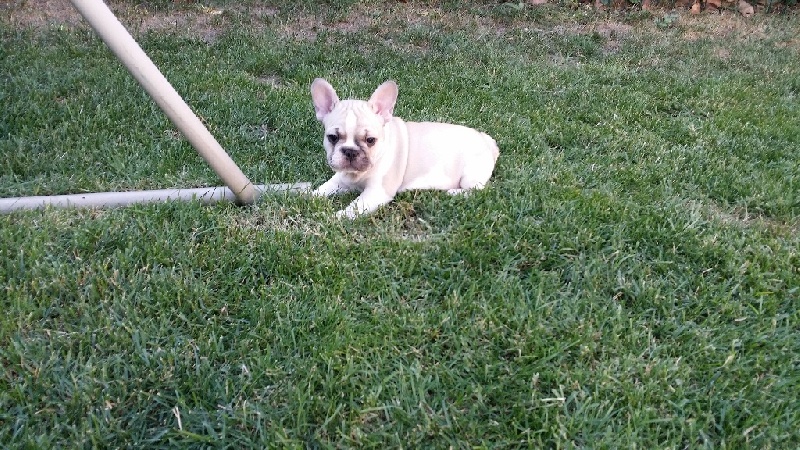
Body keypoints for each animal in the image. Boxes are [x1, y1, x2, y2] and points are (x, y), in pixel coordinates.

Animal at [310, 78, 499, 219]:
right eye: (332, 138)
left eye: (370, 140)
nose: (350, 151)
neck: (356, 175)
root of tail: (487, 140)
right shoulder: (341, 179)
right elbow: (323, 188)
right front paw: (308, 196)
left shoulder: (376, 193)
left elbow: (353, 208)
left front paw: (334, 218)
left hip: (470, 175)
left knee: (479, 191)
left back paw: (453, 192)